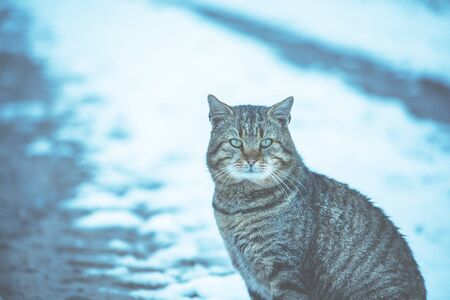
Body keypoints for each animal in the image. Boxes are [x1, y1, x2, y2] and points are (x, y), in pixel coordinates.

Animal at [207, 94, 426, 300]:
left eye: (266, 142)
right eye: (236, 142)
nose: (251, 160)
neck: (236, 208)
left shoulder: (285, 273)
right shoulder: (252, 279)